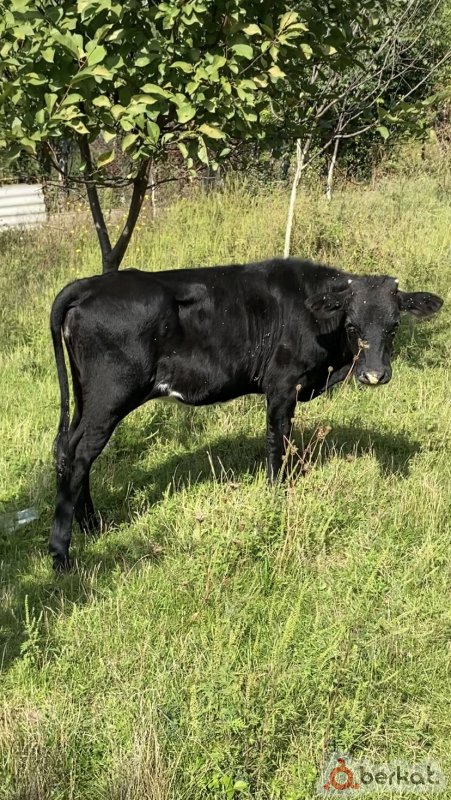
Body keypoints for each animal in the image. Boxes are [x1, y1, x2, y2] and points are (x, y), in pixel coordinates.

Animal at [49, 258, 443, 570]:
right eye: (351, 324)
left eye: (393, 326)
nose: (374, 374)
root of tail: (91, 284)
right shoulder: (282, 384)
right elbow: (277, 441)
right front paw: (276, 495)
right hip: (110, 397)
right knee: (80, 455)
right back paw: (61, 554)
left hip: (87, 397)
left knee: (70, 451)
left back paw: (91, 527)